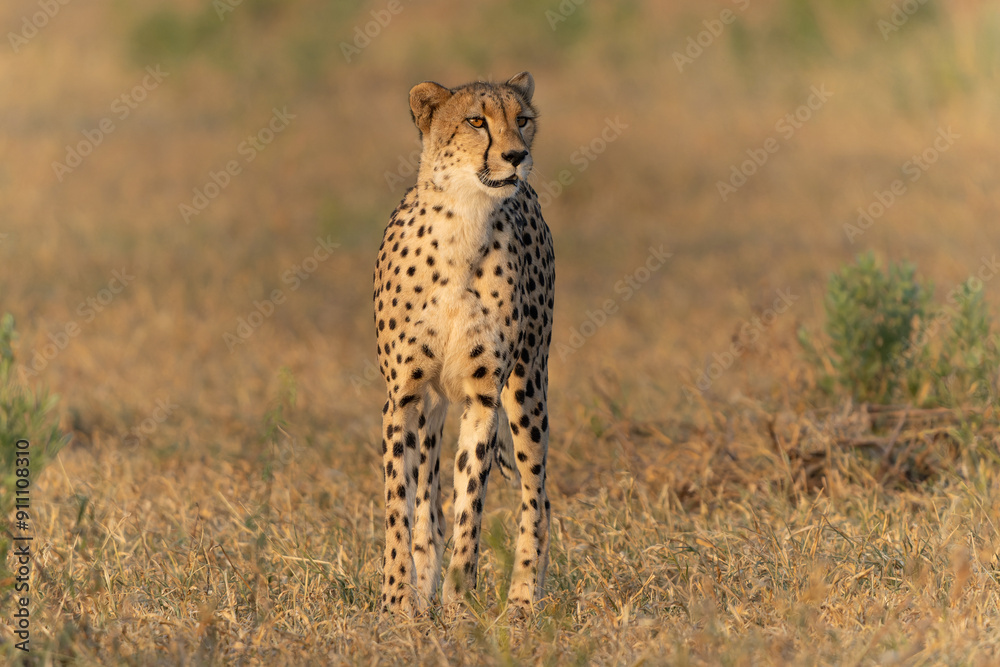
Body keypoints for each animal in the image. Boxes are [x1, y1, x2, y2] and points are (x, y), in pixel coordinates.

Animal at [374, 73, 556, 616]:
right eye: (477, 121)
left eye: (523, 119)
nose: (517, 156)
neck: (463, 221)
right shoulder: (404, 396)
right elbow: (400, 506)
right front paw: (397, 603)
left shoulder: (484, 395)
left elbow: (470, 502)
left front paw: (458, 602)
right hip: (433, 408)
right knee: (426, 509)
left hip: (527, 387)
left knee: (537, 495)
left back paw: (522, 600)